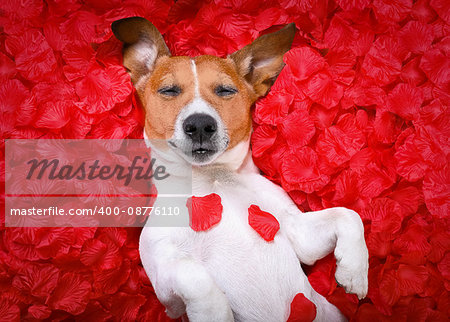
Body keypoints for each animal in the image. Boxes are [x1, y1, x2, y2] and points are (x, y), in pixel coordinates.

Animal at [111, 17, 370, 322]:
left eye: (225, 90)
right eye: (169, 90)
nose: (200, 124)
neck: (212, 179)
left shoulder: (299, 234)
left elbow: (348, 215)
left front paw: (354, 270)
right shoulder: (165, 287)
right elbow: (193, 276)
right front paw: (214, 311)